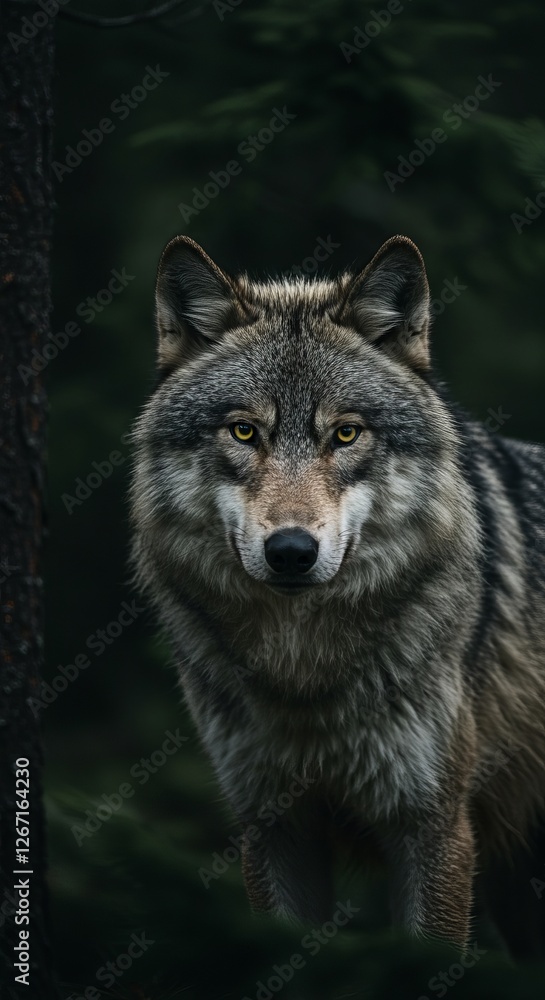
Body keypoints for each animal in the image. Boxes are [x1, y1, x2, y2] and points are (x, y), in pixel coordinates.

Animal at [130, 234, 545, 956]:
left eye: (345, 433)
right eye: (245, 432)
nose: (291, 551)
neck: (304, 676)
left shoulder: (433, 828)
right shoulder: (274, 829)